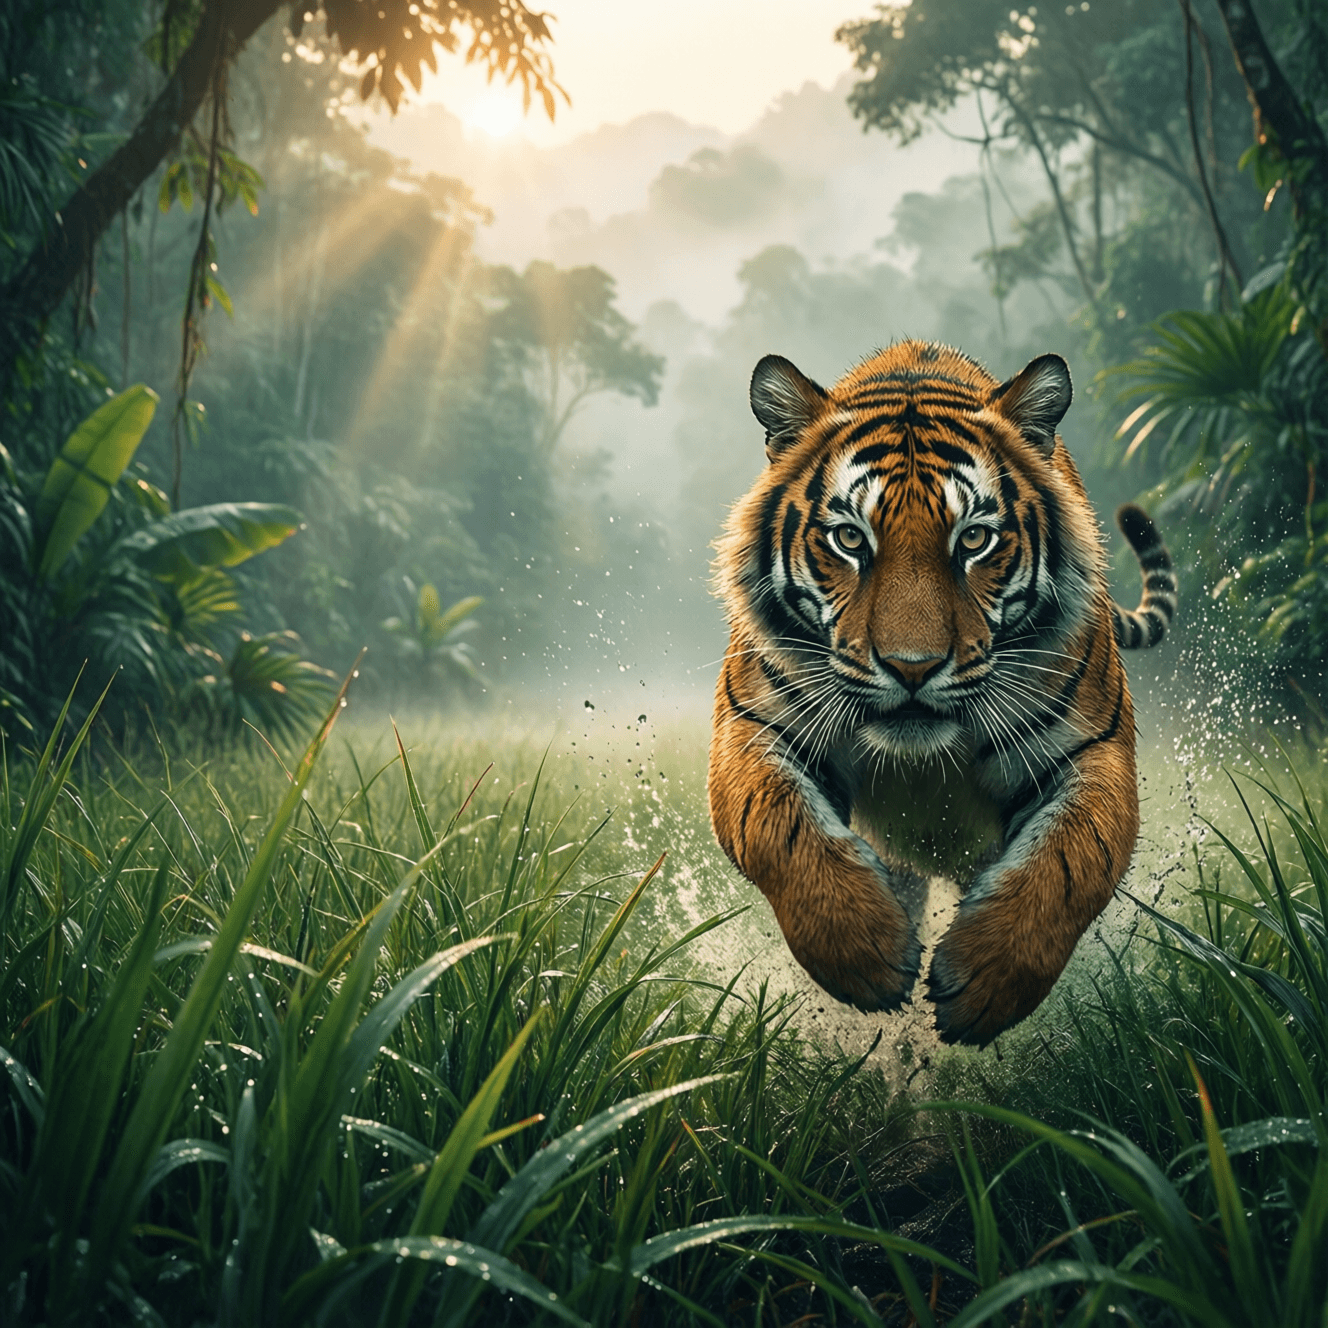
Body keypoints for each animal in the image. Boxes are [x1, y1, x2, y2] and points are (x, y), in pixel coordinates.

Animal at [708, 340, 1175, 1047]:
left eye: (974, 539)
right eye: (850, 539)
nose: (913, 668)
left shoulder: (1091, 750)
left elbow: (1070, 863)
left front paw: (988, 981)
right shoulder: (755, 727)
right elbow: (779, 832)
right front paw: (865, 954)